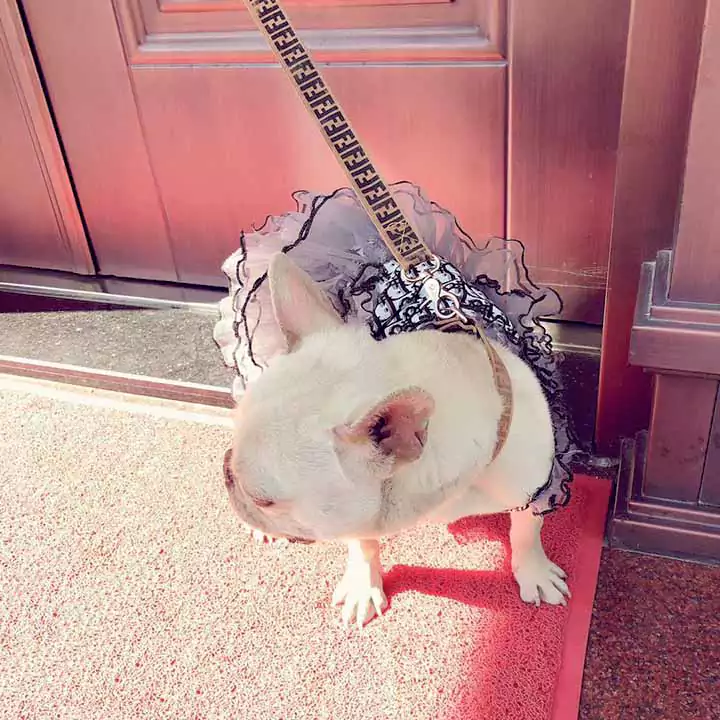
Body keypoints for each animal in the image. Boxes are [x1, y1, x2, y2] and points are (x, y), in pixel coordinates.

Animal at [224, 252, 569, 627]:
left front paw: (534, 571)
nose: (226, 473)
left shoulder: (532, 486)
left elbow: (527, 528)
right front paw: (364, 585)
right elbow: (363, 543)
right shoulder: (357, 515)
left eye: (264, 500)